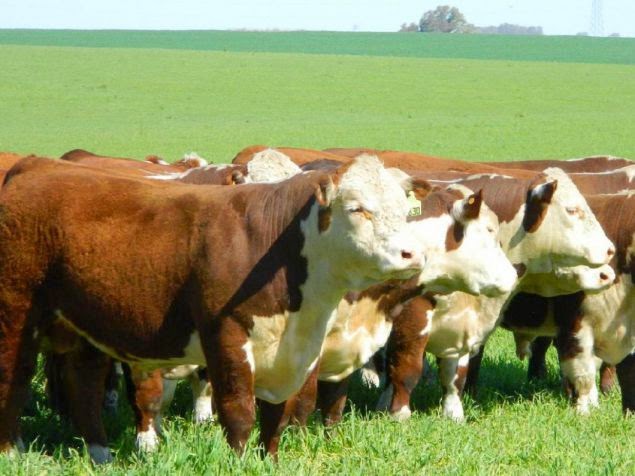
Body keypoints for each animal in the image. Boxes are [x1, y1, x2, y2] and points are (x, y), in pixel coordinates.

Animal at [0, 154, 423, 461]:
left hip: (84, 322)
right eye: (357, 208)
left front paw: (270, 461)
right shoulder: (226, 334)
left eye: (405, 211)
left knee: (83, 384)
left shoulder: (292, 352)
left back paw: (101, 454)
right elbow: (238, 411)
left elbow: (277, 415)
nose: (412, 254)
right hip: (17, 313)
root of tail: (37, 165)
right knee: (14, 378)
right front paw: (238, 463)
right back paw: (12, 450)